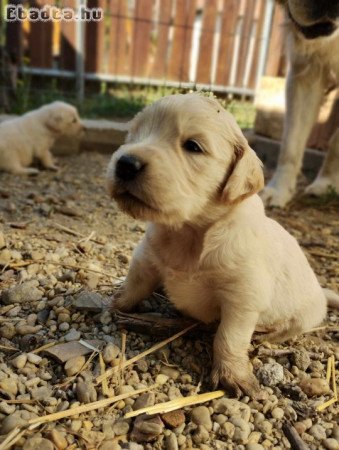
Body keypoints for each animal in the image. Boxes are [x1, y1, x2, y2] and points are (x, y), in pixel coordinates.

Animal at [107, 93, 338, 396]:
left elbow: (229, 337)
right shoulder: (146, 258)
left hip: (304, 316)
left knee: (284, 329)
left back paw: (265, 333)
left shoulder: (242, 297)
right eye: (133, 135)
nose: (125, 163)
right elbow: (135, 284)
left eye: (193, 146)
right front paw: (118, 301)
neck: (189, 232)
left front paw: (232, 373)